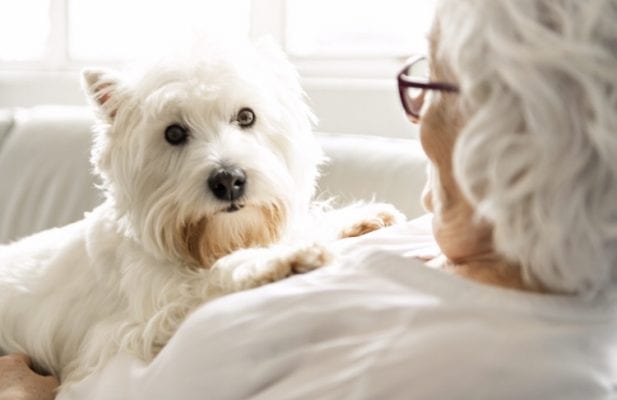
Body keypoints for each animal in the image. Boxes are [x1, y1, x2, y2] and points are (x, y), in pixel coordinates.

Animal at [0, 38, 402, 388]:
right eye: (174, 133)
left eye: (246, 116)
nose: (229, 180)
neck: (204, 241)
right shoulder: (135, 325)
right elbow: (212, 277)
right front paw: (280, 258)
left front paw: (359, 219)